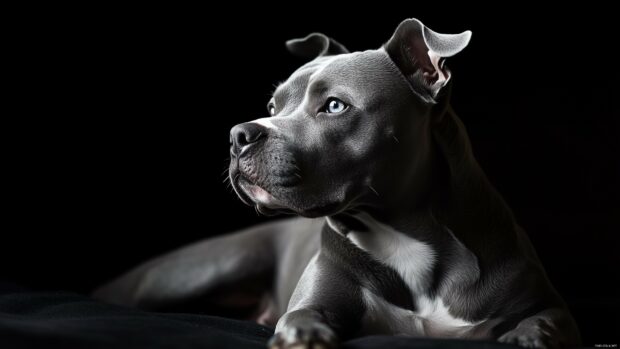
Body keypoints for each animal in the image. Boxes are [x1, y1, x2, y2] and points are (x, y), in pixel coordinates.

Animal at [94, 19, 580, 348]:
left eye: (334, 106)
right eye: (272, 106)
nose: (238, 135)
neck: (403, 235)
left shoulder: (546, 302)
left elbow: (548, 318)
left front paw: (529, 336)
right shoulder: (317, 297)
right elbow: (303, 314)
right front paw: (302, 334)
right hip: (204, 268)